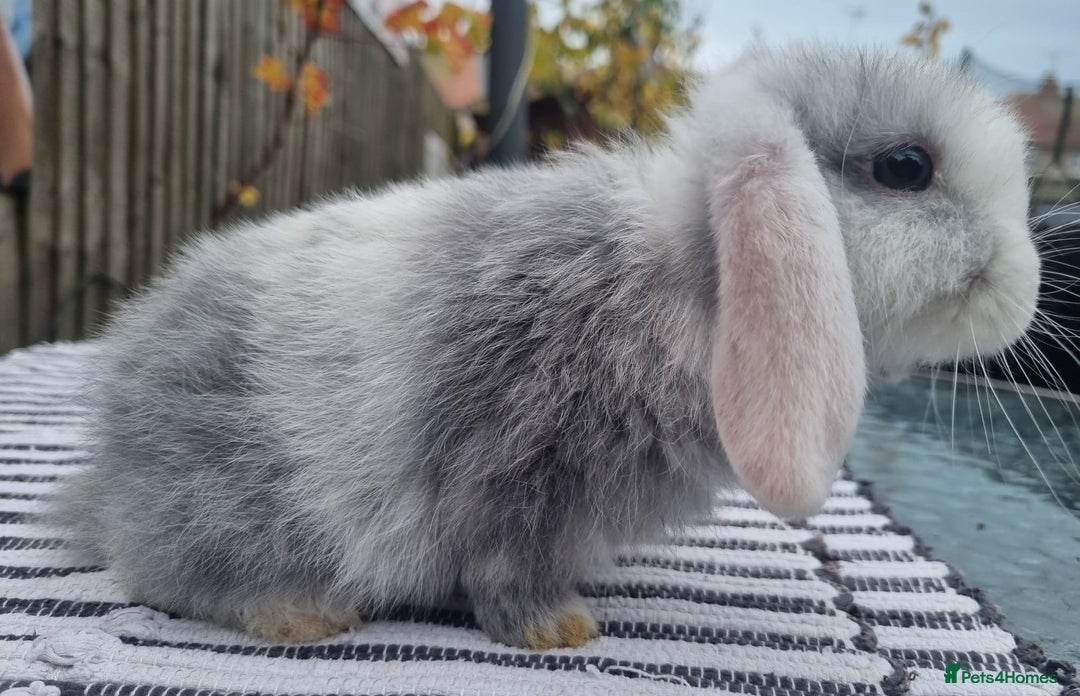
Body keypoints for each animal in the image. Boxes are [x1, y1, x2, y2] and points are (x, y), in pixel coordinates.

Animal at [56, 44, 1040, 649]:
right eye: (907, 167)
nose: (1023, 290)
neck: (690, 277)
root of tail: (110, 466)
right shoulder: (515, 467)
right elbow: (505, 564)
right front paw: (557, 630)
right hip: (223, 502)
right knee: (163, 575)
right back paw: (300, 613)